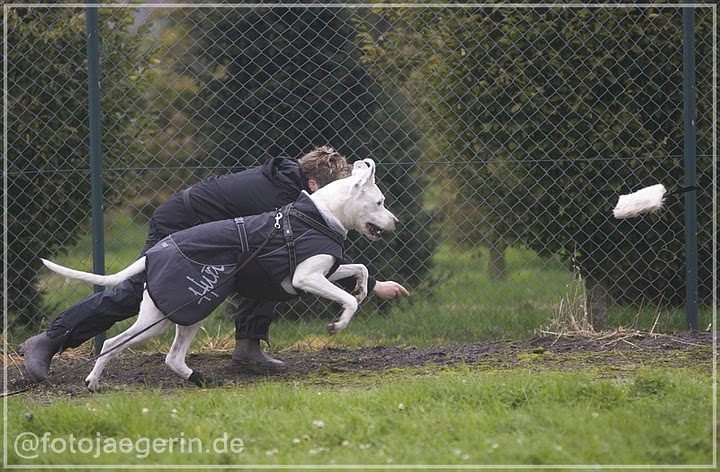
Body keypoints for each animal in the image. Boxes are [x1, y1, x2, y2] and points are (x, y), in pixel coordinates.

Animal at [40, 159, 400, 390]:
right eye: (380, 202)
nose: (396, 222)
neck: (318, 214)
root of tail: (153, 253)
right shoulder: (306, 278)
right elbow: (347, 301)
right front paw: (339, 323)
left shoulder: (328, 269)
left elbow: (360, 269)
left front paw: (364, 288)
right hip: (163, 318)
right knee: (115, 342)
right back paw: (93, 380)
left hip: (189, 314)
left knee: (172, 358)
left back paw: (200, 380)